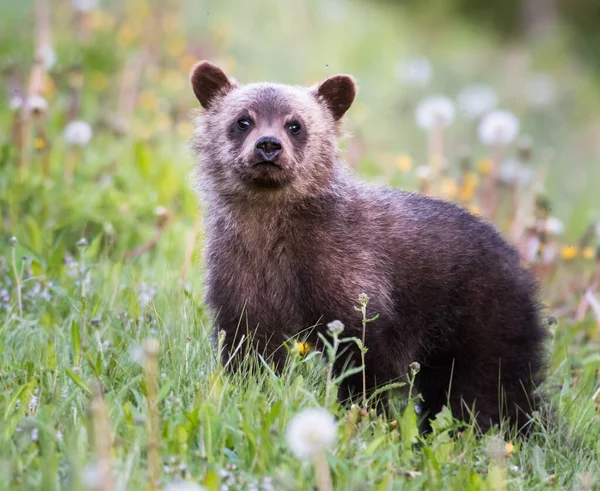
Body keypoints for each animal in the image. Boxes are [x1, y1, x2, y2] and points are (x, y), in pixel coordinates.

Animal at [190, 61, 548, 434]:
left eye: (295, 124)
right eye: (243, 120)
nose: (269, 145)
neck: (273, 237)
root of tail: (521, 265)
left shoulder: (354, 277)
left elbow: (366, 359)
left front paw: (364, 412)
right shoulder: (240, 277)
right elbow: (250, 347)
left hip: (483, 319)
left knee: (491, 388)